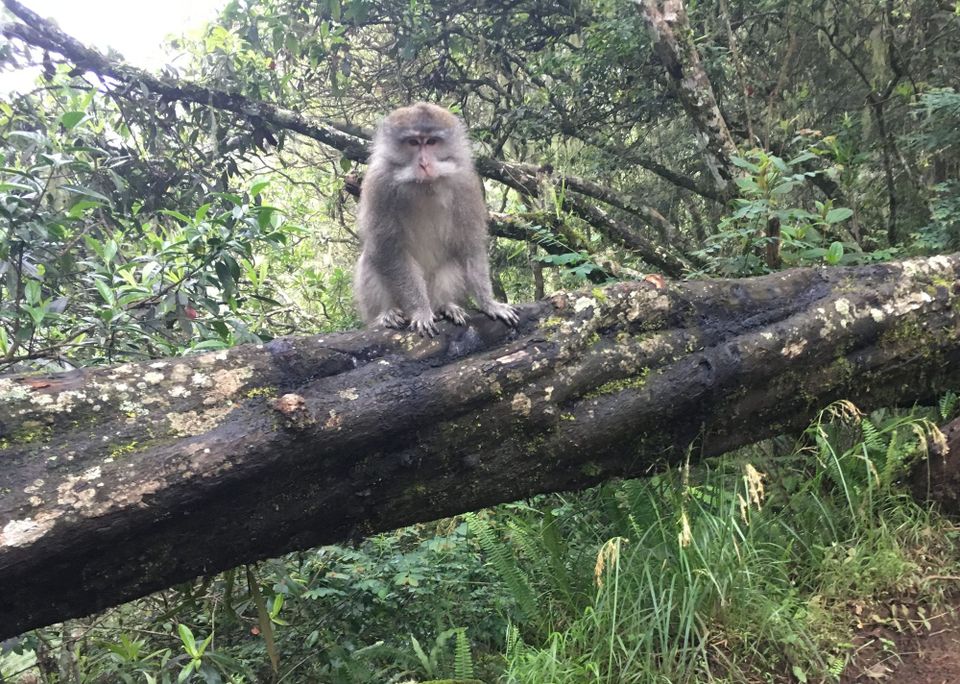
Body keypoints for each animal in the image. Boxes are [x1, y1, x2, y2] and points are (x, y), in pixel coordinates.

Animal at [354, 102, 520, 337]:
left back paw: (445, 306)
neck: (424, 186)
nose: (424, 164)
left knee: (451, 263)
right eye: (413, 143)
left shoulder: (465, 183)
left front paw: (489, 303)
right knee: (371, 258)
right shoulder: (379, 185)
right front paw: (421, 311)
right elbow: (389, 251)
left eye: (432, 142)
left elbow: (469, 246)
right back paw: (387, 314)